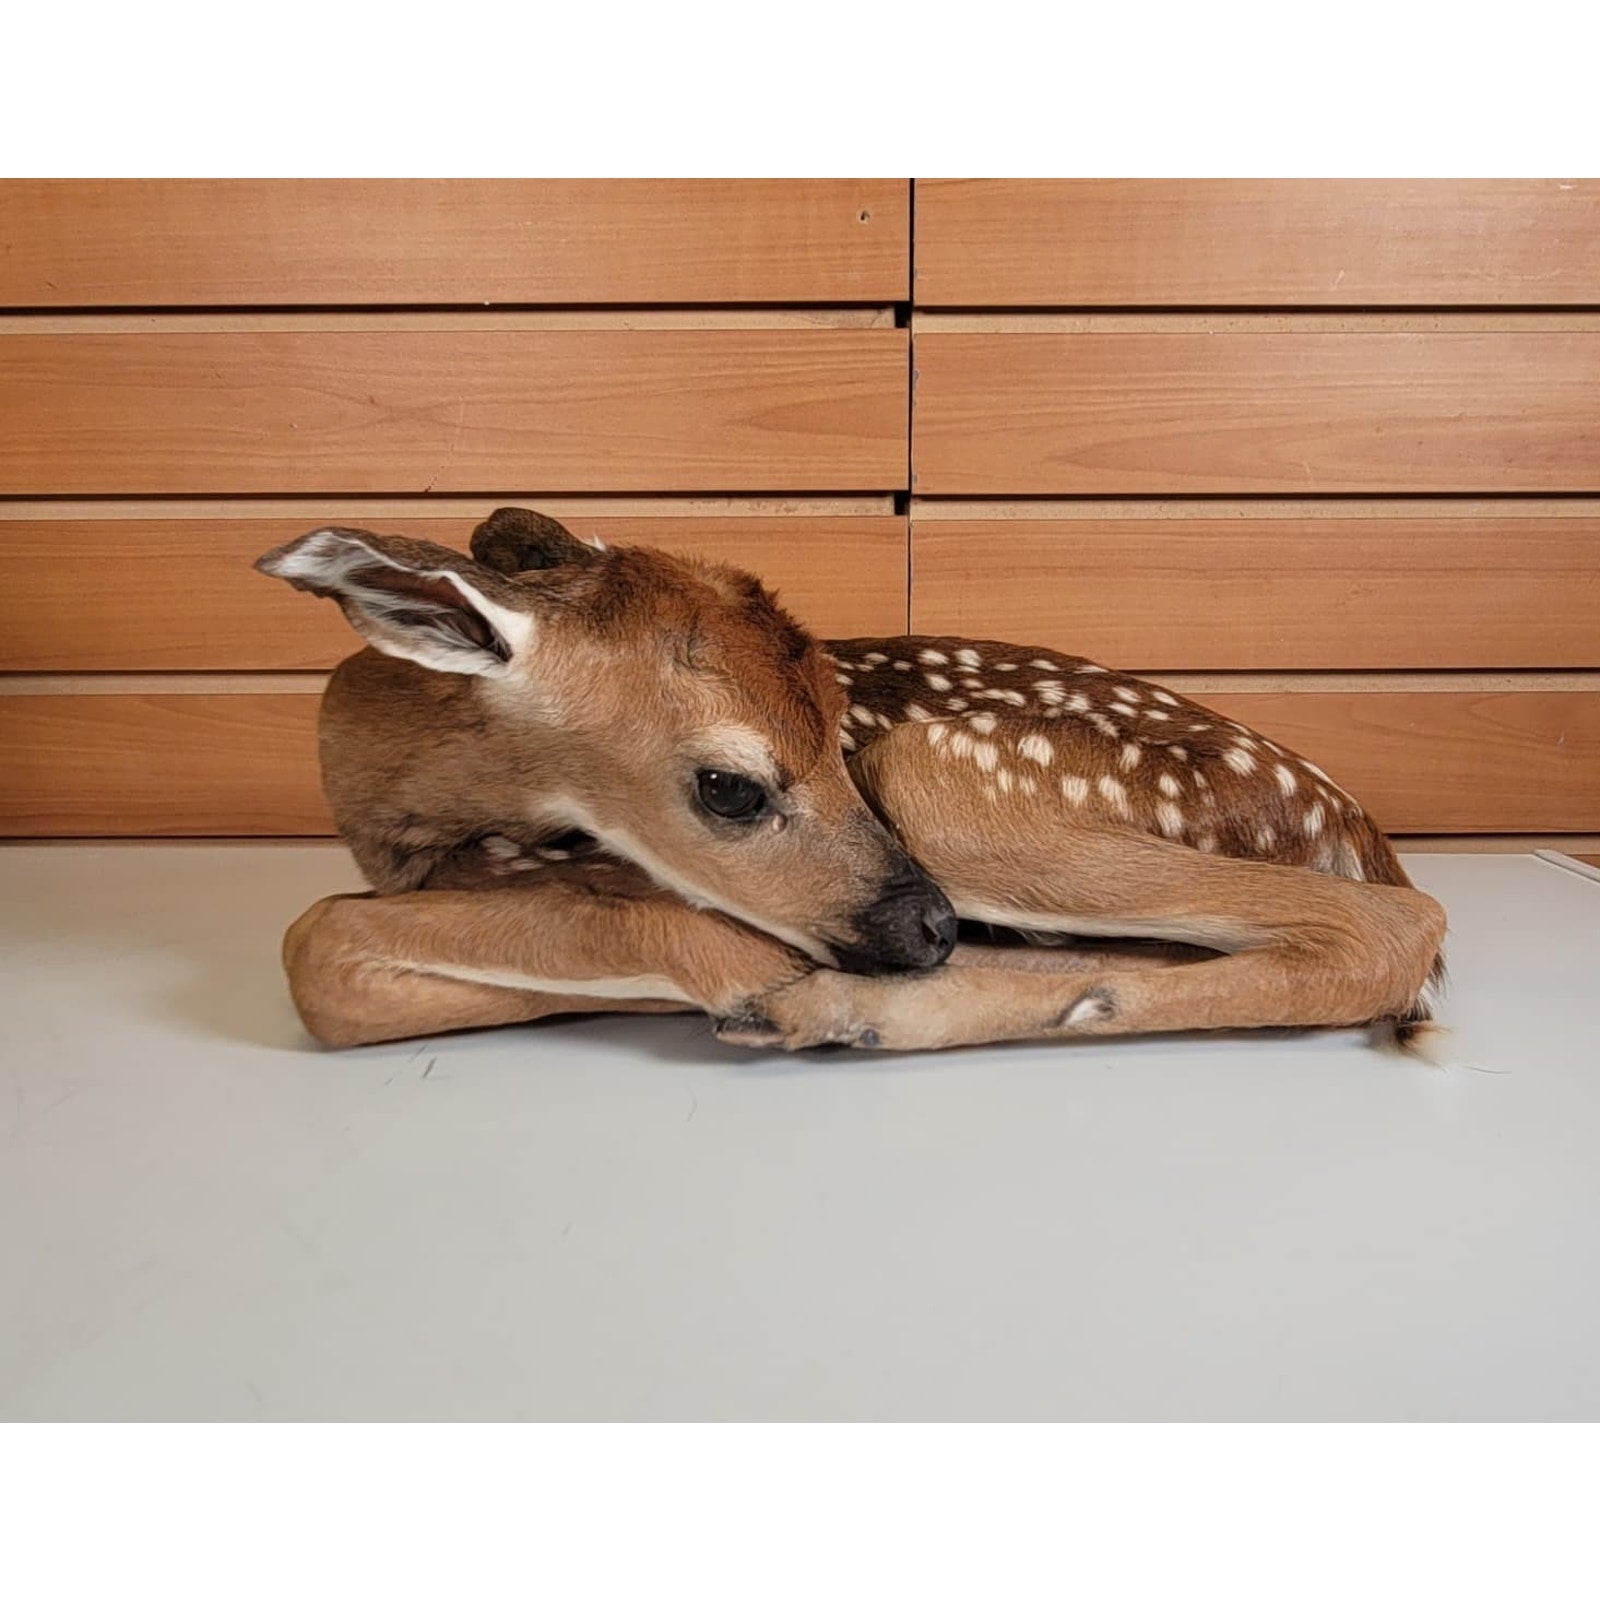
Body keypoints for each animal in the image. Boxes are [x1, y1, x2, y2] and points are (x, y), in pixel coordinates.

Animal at [256, 507, 1447, 1056]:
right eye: (731, 788)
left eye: (837, 727)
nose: (927, 925)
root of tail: (1344, 818)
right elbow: (336, 962)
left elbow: (315, 938)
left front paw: (748, 977)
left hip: (935, 773)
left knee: (1396, 923)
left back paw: (831, 1009)